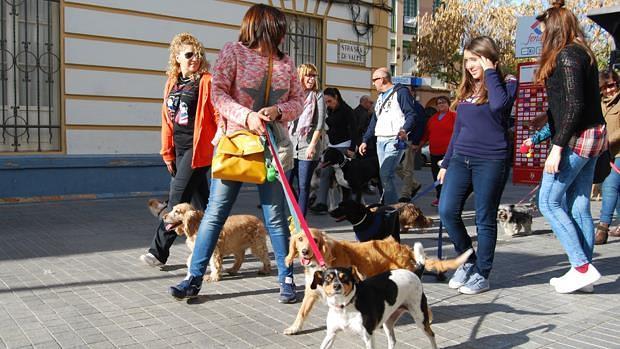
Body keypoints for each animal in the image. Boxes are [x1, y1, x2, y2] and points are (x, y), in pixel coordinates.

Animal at [284, 228, 472, 334]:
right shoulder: (311, 293)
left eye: (314, 240)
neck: (322, 257)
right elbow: (301, 312)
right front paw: (294, 328)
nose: (305, 252)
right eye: (300, 239)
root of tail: (403, 248)